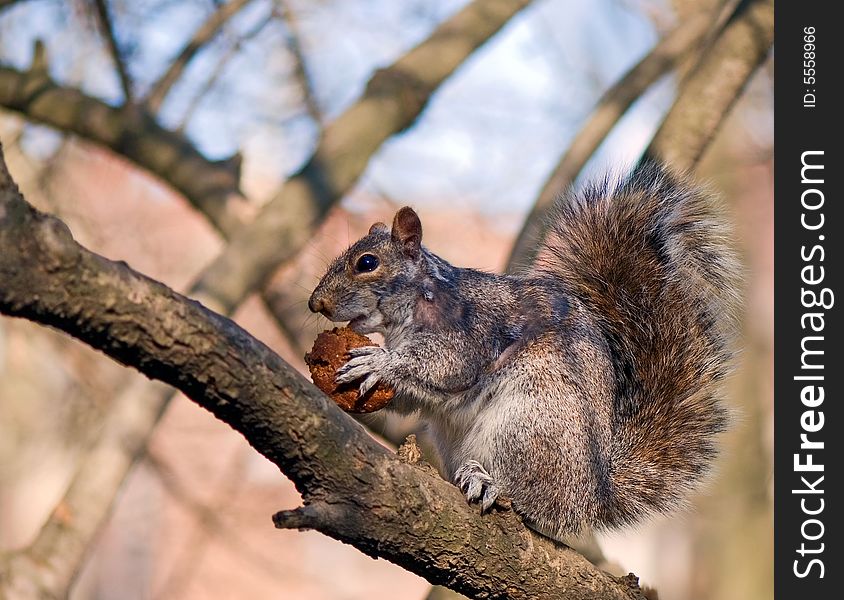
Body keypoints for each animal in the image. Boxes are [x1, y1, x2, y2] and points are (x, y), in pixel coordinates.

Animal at [308, 163, 740, 540]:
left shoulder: (471, 332)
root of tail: (593, 496)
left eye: (367, 263)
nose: (316, 303)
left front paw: (379, 362)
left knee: (537, 501)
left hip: (530, 424)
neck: (416, 304)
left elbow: (447, 366)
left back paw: (489, 483)